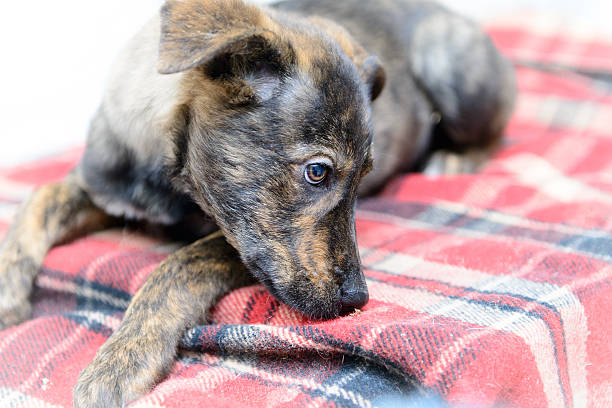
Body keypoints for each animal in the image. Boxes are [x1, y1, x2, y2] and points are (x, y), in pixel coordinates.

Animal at [0, 0, 516, 404]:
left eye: (364, 178)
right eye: (317, 172)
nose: (358, 300)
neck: (167, 180)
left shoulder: (236, 243)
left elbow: (179, 264)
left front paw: (123, 357)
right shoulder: (102, 185)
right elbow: (38, 201)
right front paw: (8, 290)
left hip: (449, 62)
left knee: (496, 131)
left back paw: (453, 160)